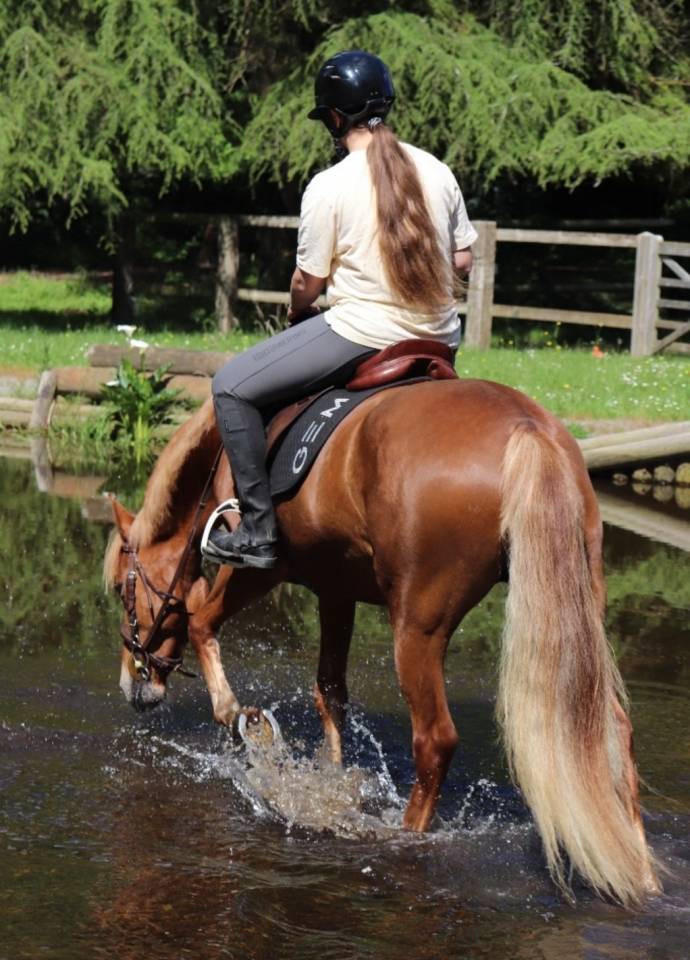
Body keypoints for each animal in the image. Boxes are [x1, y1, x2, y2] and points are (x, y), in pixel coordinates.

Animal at [104, 377, 659, 905]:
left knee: (434, 740)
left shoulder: (259, 570)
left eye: (118, 590)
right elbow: (329, 692)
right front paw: (330, 777)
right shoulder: (334, 589)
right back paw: (640, 870)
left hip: (417, 626)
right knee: (614, 731)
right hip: (579, 607)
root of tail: (528, 428)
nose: (131, 685)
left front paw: (243, 720)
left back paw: (405, 837)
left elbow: (201, 621)